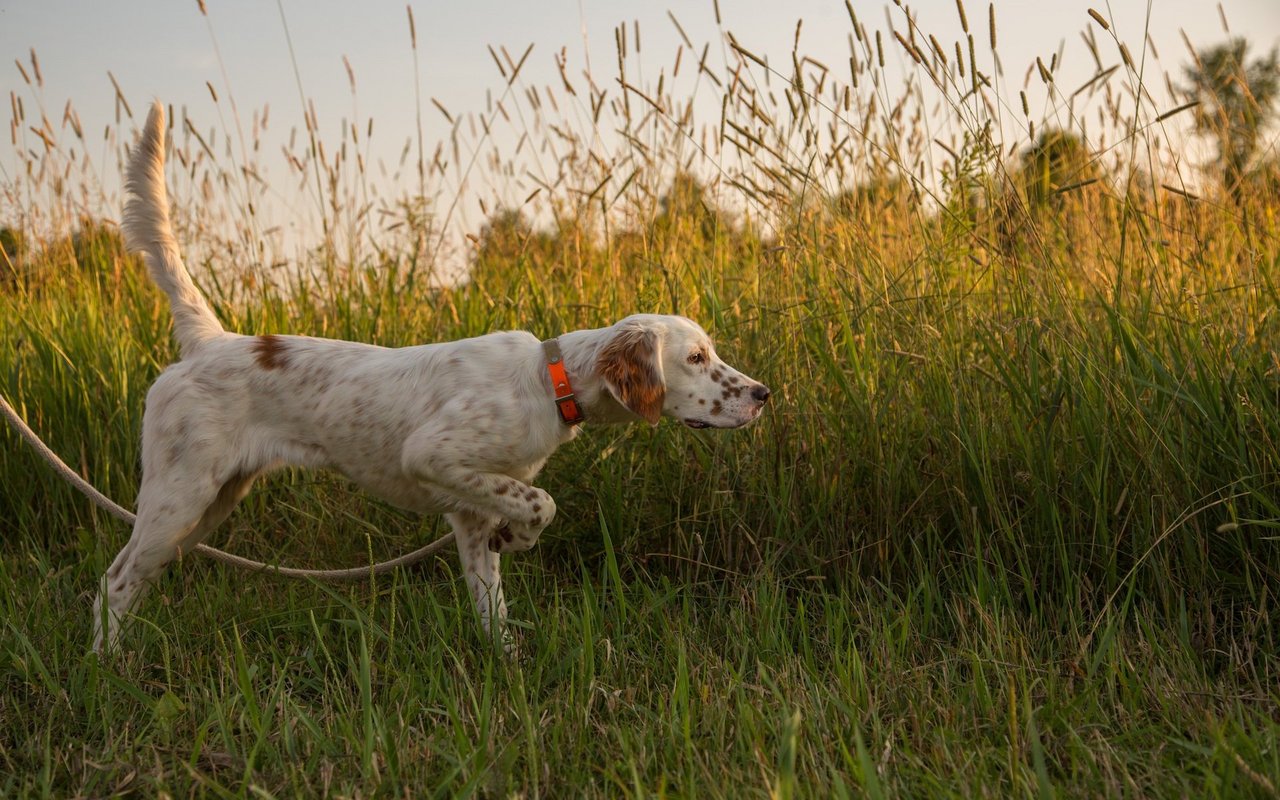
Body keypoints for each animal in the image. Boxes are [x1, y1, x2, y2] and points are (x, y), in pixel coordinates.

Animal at [92, 104, 768, 655]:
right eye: (697, 358)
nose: (763, 395)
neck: (547, 382)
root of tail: (211, 340)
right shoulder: (432, 455)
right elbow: (542, 501)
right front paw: (521, 537)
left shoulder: (470, 515)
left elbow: (494, 607)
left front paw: (509, 666)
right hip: (179, 495)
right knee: (114, 578)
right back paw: (107, 668)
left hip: (207, 506)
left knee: (132, 576)